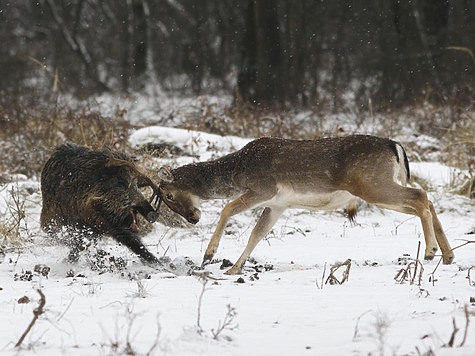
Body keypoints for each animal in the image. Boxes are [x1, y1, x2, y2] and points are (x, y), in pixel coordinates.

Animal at [155, 135, 454, 274]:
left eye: (168, 195)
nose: (193, 218)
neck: (236, 171)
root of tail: (395, 146)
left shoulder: (264, 188)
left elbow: (227, 208)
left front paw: (209, 254)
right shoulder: (278, 204)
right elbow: (257, 234)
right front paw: (234, 268)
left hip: (371, 184)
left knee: (420, 196)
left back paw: (430, 251)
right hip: (375, 186)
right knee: (426, 198)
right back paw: (447, 255)